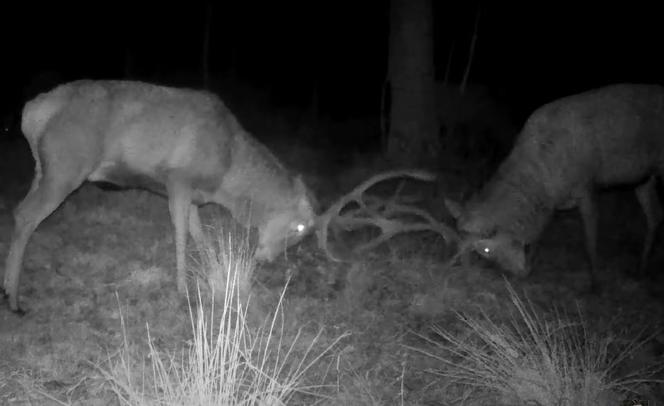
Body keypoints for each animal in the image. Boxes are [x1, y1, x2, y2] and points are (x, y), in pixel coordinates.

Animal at [446, 83, 664, 286]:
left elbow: (589, 241)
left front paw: (595, 282)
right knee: (654, 218)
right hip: (644, 179)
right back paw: (641, 269)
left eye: (486, 249)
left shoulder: (587, 187)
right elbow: (538, 238)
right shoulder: (552, 205)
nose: (516, 273)